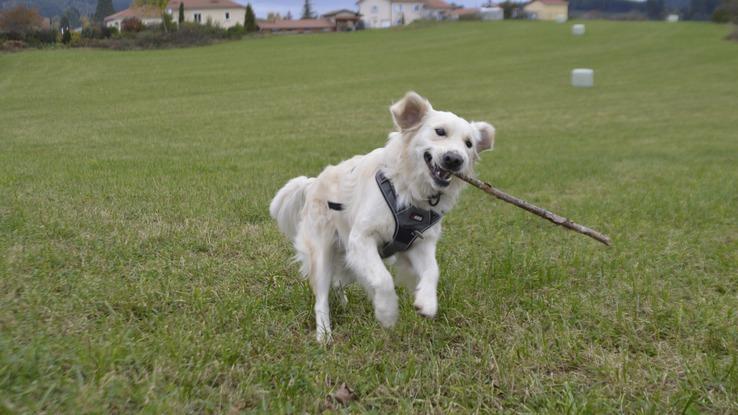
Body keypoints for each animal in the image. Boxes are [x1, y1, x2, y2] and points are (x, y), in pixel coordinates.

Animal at [268, 92, 492, 342]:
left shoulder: (420, 244)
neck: (410, 192)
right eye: (440, 131)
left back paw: (345, 303)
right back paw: (324, 335)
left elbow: (433, 271)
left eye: (469, 144)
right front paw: (387, 312)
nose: (455, 159)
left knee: (339, 282)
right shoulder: (361, 238)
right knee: (322, 298)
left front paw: (426, 302)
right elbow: (384, 279)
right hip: (323, 252)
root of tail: (313, 182)